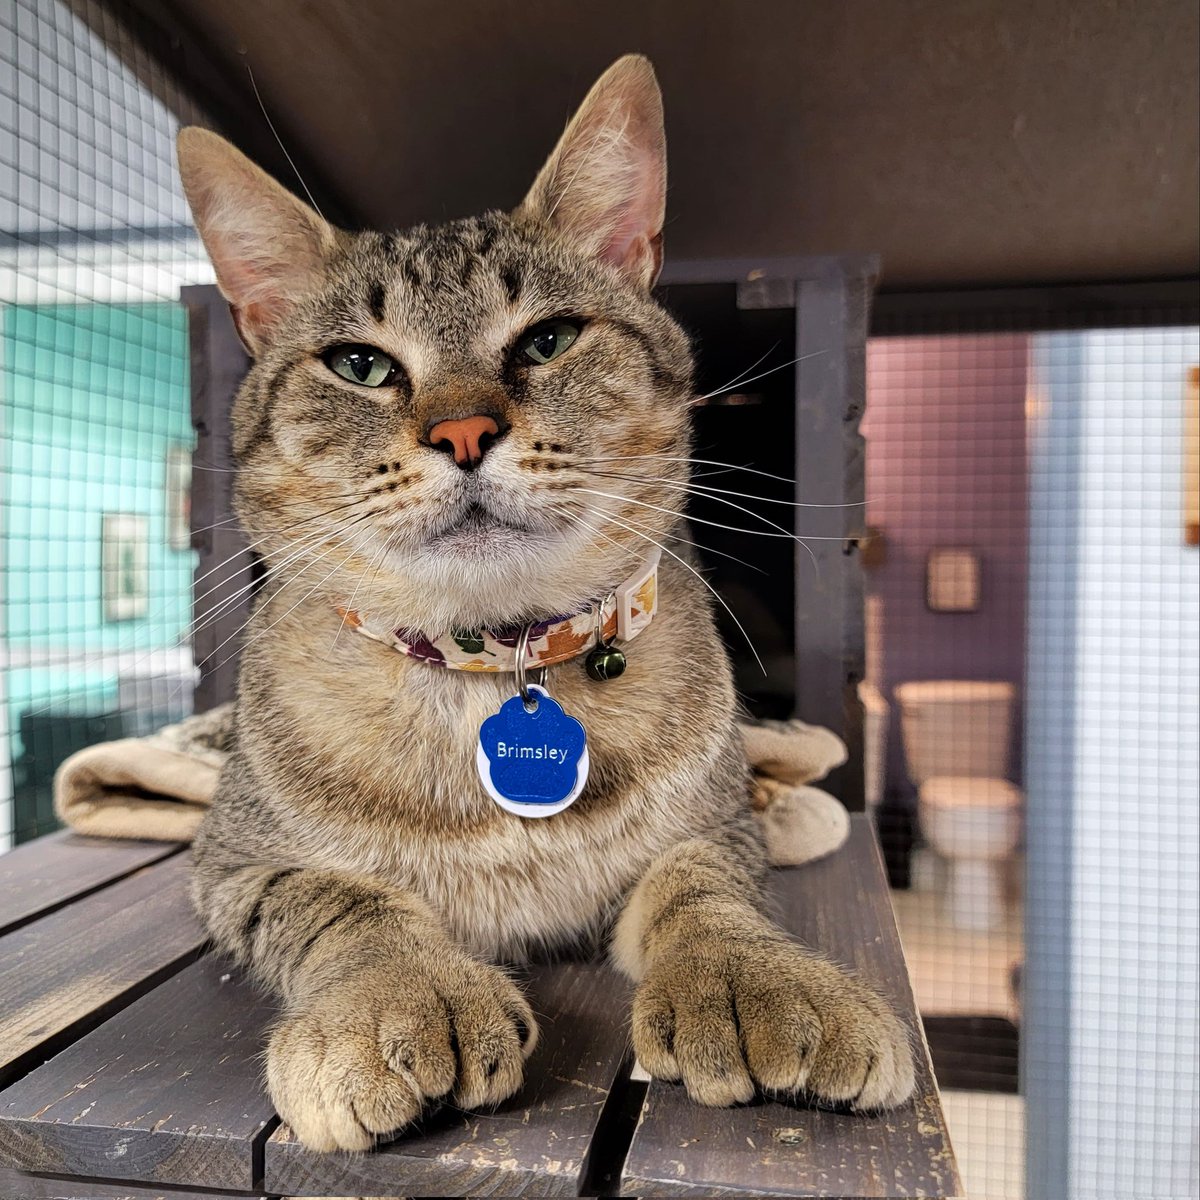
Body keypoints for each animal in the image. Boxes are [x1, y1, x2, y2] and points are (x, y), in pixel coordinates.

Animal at [175, 51, 907, 1147]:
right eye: (360, 364)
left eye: (549, 340)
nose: (464, 432)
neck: (494, 665)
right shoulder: (233, 864)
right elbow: (343, 902)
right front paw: (397, 993)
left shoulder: (717, 831)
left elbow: (703, 893)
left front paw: (754, 979)